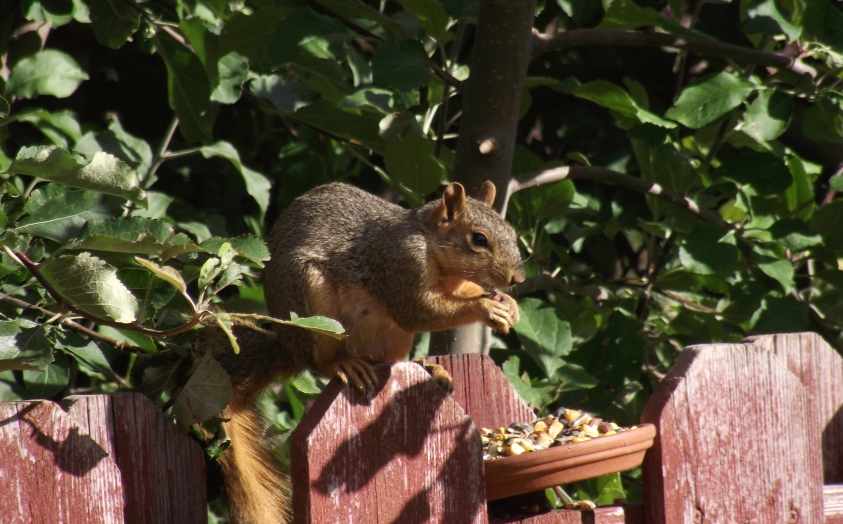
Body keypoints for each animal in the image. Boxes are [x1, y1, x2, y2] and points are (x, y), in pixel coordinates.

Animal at [193, 180, 525, 523]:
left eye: (512, 233)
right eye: (478, 239)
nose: (517, 278)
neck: (431, 245)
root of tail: (289, 345)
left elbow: (462, 294)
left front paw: (508, 304)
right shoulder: (400, 266)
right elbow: (418, 312)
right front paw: (486, 307)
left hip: (393, 337)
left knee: (390, 361)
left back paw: (427, 367)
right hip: (314, 307)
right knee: (322, 363)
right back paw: (347, 366)